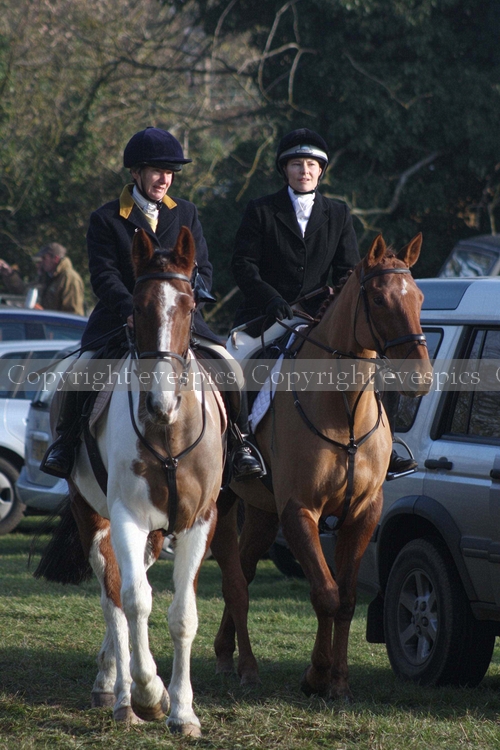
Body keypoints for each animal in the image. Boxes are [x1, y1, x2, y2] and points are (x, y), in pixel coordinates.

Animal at [35, 227, 224, 736]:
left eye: (190, 306)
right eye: (136, 308)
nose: (160, 403)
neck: (168, 431)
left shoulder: (198, 522)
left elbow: (182, 615)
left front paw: (183, 712)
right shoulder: (126, 517)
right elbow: (135, 602)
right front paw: (150, 694)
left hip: (156, 534)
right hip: (92, 515)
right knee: (113, 596)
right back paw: (118, 695)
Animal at [209, 233, 433, 699]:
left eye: (419, 297)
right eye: (379, 300)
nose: (420, 379)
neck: (343, 410)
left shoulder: (362, 513)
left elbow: (345, 599)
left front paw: (339, 681)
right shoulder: (300, 511)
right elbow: (325, 593)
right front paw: (316, 674)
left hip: (261, 512)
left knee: (246, 570)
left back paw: (226, 652)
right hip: (221, 505)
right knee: (235, 582)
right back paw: (246, 667)